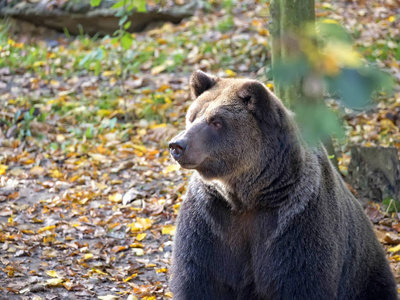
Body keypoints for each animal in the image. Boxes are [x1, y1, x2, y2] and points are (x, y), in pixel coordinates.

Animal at [168, 71, 396, 300]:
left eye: (216, 121)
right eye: (192, 116)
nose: (177, 145)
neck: (248, 196)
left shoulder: (294, 221)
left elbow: (301, 279)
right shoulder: (211, 219)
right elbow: (198, 278)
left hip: (366, 273)